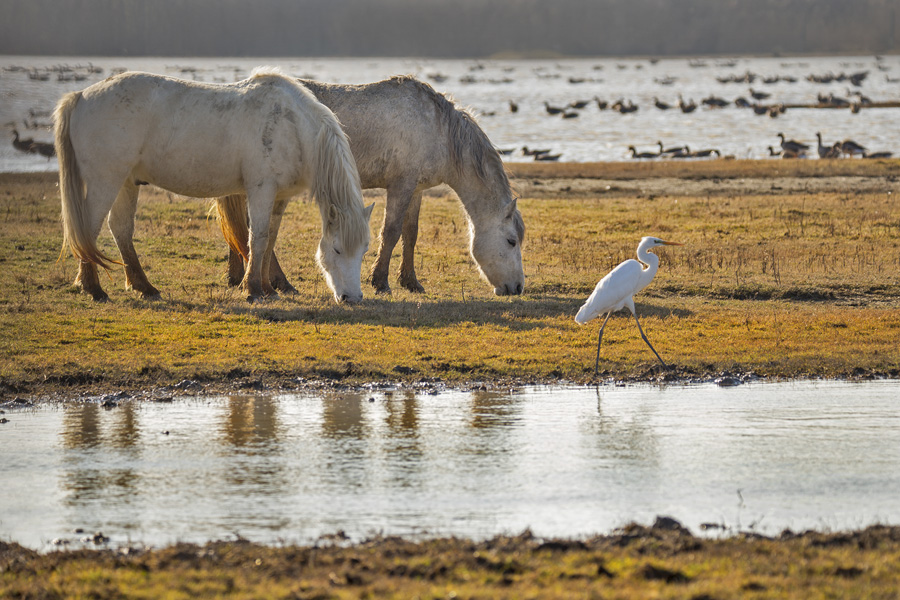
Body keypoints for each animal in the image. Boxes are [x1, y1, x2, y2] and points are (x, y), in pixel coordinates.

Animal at [53, 69, 372, 302]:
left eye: (364, 250)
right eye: (338, 250)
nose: (353, 298)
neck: (292, 125)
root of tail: (81, 96)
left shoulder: (279, 198)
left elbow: (269, 240)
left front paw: (268, 287)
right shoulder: (261, 190)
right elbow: (257, 238)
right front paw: (254, 290)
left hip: (126, 183)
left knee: (120, 229)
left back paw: (145, 287)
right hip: (105, 182)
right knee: (88, 232)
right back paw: (94, 290)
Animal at [218, 76, 524, 296]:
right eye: (511, 241)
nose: (518, 288)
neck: (438, 129)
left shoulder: (416, 190)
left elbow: (410, 234)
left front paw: (410, 282)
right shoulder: (400, 186)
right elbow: (390, 232)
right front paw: (381, 281)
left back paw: (238, 277)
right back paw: (278, 283)